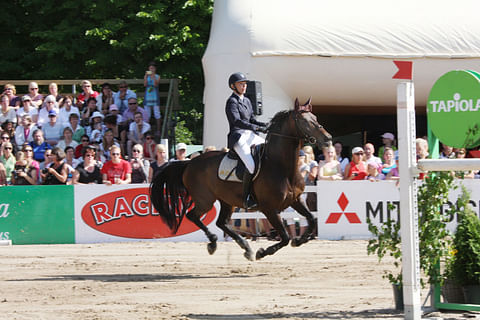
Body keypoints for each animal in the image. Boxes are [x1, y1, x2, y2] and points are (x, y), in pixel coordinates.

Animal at [150, 98, 330, 260]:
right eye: (304, 121)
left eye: (315, 118)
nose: (327, 139)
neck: (280, 166)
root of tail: (189, 162)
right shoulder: (269, 208)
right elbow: (285, 237)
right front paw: (262, 252)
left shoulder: (295, 200)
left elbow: (311, 219)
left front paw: (299, 240)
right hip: (205, 200)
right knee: (193, 216)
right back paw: (214, 243)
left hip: (226, 200)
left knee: (221, 223)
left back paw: (245, 247)